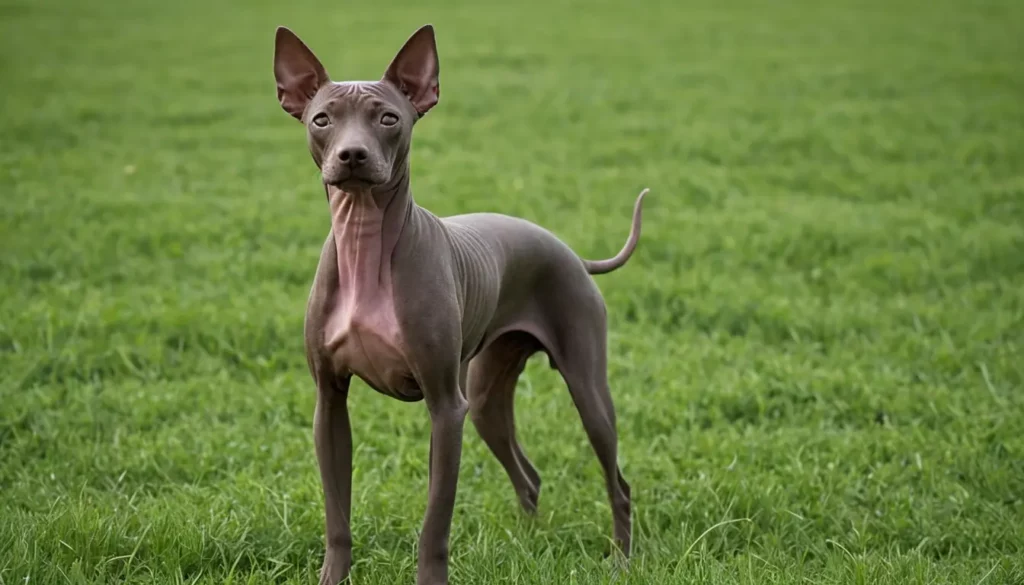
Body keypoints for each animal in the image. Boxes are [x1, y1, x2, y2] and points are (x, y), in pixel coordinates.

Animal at [272, 22, 647, 585]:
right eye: (322, 120)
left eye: (389, 118)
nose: (352, 155)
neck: (364, 247)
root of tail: (570, 252)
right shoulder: (330, 403)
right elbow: (337, 517)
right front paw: (331, 577)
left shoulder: (446, 409)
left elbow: (435, 523)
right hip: (488, 398)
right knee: (529, 475)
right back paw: (527, 542)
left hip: (584, 390)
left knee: (617, 482)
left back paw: (621, 559)